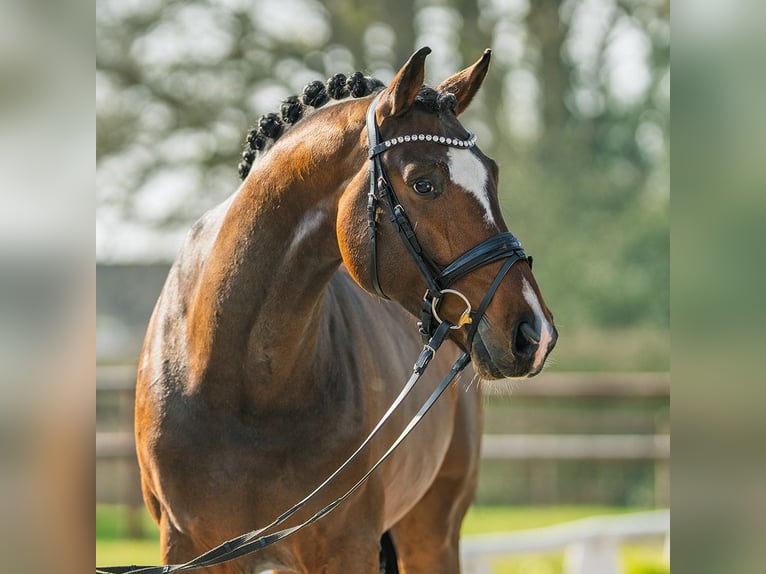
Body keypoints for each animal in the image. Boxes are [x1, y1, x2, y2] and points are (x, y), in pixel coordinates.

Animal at [134, 47, 557, 574]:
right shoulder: (188, 550)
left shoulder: (347, 546)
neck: (239, 381)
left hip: (432, 533)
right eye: (424, 184)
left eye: (493, 176)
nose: (534, 333)